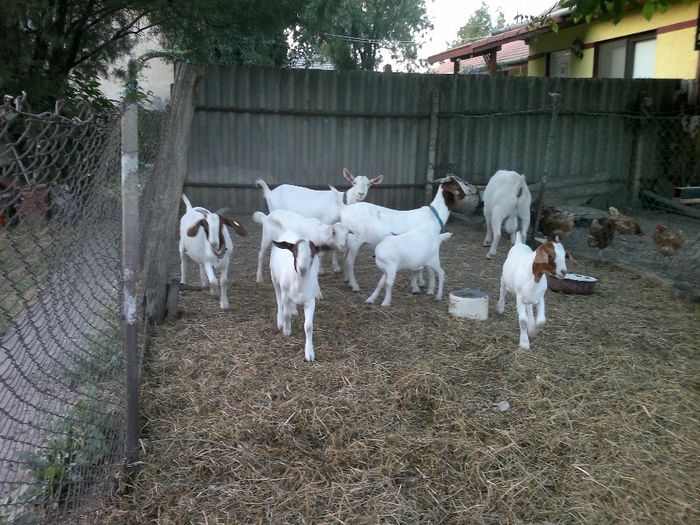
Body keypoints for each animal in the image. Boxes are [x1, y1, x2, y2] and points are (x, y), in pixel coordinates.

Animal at [270, 231, 330, 362]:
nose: (302, 269)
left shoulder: (310, 301)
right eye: (295, 252)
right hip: (275, 280)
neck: (299, 283)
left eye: (313, 253)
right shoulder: (286, 296)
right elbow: (286, 313)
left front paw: (309, 353)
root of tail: (289, 231)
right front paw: (287, 330)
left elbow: (308, 326)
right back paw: (280, 321)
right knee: (279, 300)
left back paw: (294, 310)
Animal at [338, 175, 476, 290]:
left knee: (345, 258)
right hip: (355, 239)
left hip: (349, 240)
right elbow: (422, 267)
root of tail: (345, 209)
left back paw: (347, 281)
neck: (434, 215)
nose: (473, 191)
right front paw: (419, 285)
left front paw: (420, 283)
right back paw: (355, 286)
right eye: (459, 184)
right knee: (350, 262)